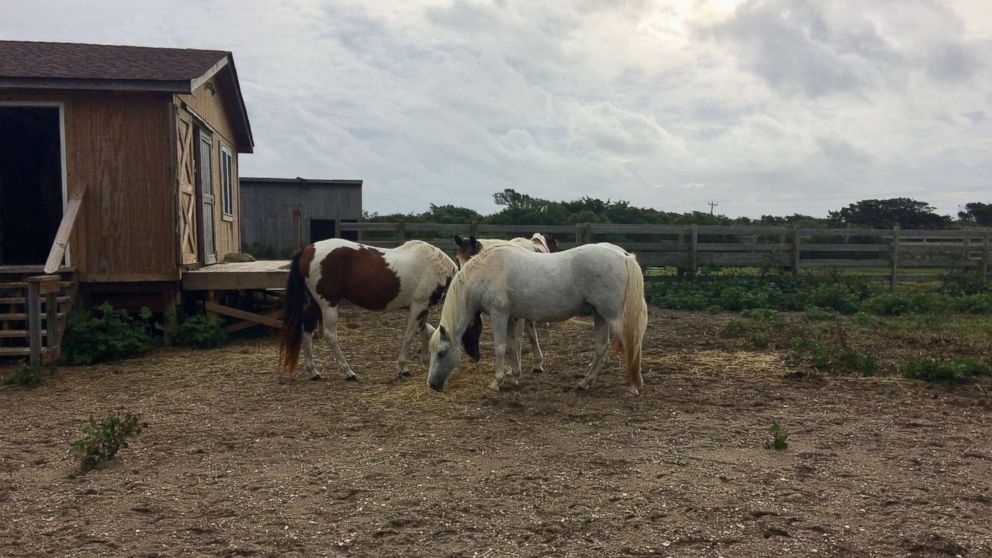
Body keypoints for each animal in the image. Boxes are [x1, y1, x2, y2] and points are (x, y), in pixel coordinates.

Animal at [279, 239, 458, 380]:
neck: (436, 268)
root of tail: (308, 249)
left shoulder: (423, 309)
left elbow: (426, 332)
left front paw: (426, 360)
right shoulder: (418, 306)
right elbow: (409, 336)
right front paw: (403, 368)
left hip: (314, 305)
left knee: (306, 332)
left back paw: (313, 372)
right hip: (328, 304)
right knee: (330, 335)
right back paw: (348, 372)